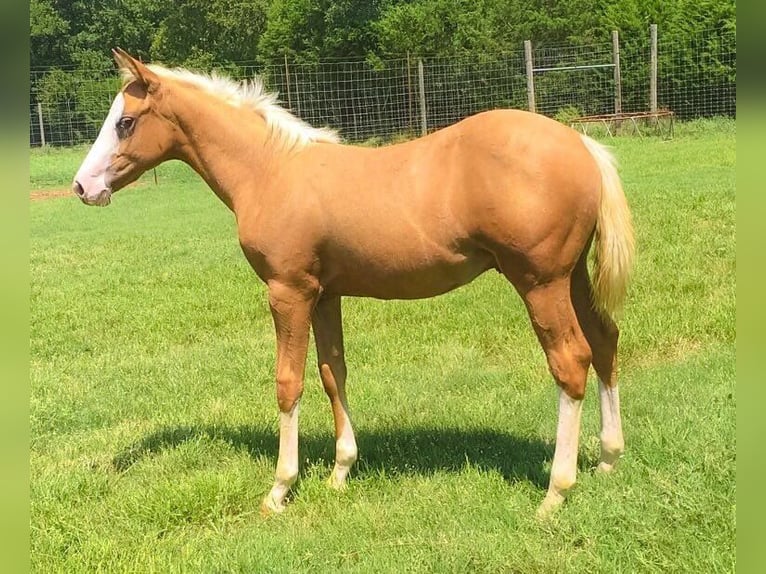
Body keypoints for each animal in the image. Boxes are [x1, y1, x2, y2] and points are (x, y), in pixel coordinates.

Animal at [73, 49, 634, 517]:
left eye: (125, 121)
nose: (82, 187)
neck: (270, 170)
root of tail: (582, 143)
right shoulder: (326, 294)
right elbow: (332, 372)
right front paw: (341, 471)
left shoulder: (288, 291)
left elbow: (289, 382)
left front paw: (279, 489)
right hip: (572, 277)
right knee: (605, 340)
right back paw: (608, 459)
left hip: (540, 283)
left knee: (571, 361)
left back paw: (556, 492)